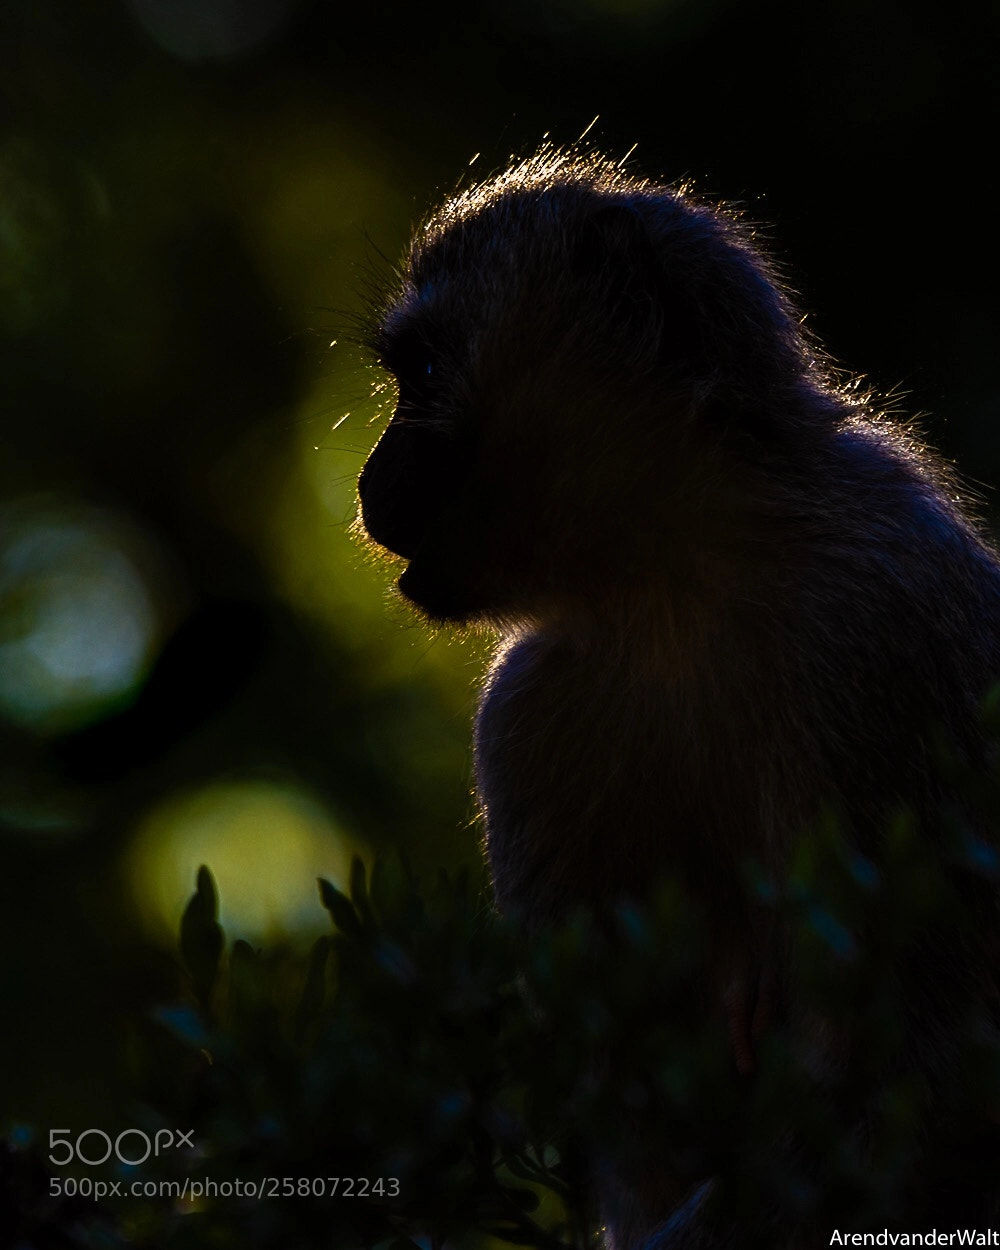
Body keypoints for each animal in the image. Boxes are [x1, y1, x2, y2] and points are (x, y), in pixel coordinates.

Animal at [356, 146, 1000, 1247]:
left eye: (428, 376)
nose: (366, 479)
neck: (678, 587)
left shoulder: (878, 624)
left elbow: (907, 1059)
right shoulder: (526, 716)